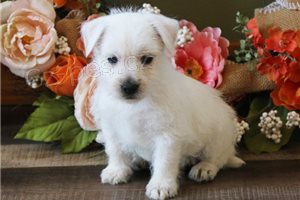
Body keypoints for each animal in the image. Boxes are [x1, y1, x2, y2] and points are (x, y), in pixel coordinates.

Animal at [75, 7, 244, 200]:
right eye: (112, 59)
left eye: (147, 59)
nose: (129, 87)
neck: (135, 105)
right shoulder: (111, 128)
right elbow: (115, 150)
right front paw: (117, 171)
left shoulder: (167, 135)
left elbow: (165, 161)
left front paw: (161, 185)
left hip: (219, 136)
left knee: (217, 158)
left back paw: (204, 168)